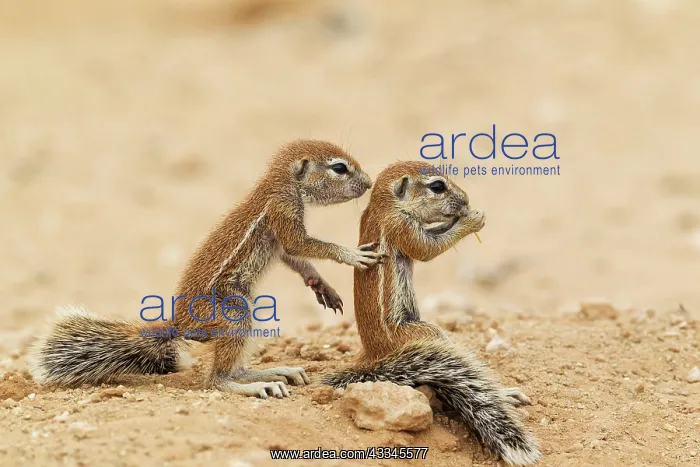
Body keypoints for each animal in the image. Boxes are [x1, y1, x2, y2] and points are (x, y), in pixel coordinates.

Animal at [28, 139, 384, 399]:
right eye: (339, 168)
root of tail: (179, 324)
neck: (280, 183)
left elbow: (294, 257)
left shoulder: (281, 236)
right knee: (218, 379)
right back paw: (256, 385)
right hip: (235, 310)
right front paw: (352, 254)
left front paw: (322, 285)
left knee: (234, 367)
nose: (368, 182)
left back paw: (274, 372)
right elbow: (302, 246)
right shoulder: (283, 211)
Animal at [323, 161, 541, 465]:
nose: (465, 200)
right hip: (424, 334)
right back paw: (503, 394)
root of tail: (374, 357)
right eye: (437, 186)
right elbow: (427, 249)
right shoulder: (401, 225)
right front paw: (472, 219)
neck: (385, 204)